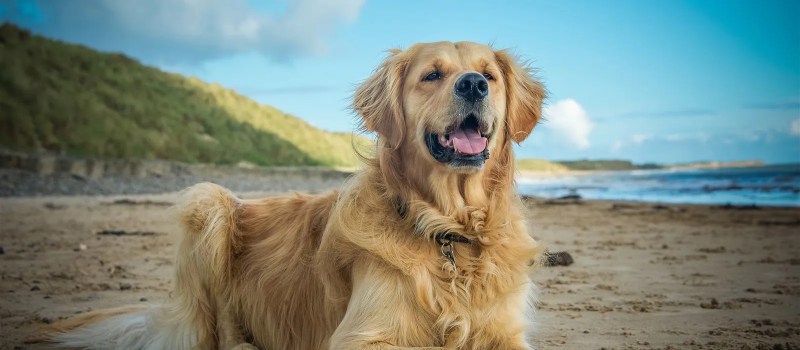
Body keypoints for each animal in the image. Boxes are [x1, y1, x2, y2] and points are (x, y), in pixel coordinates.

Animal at [47, 41, 548, 350]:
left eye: (489, 76)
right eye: (432, 75)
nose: (473, 83)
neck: (448, 229)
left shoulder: (507, 332)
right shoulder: (360, 336)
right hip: (208, 203)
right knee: (214, 332)